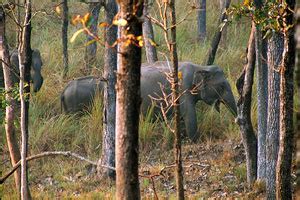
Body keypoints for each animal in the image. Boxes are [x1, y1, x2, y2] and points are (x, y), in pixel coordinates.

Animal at [61, 61, 238, 141]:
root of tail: (63, 90)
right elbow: (189, 116)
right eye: (222, 86)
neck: (200, 66)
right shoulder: (182, 90)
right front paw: (195, 141)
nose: (236, 122)